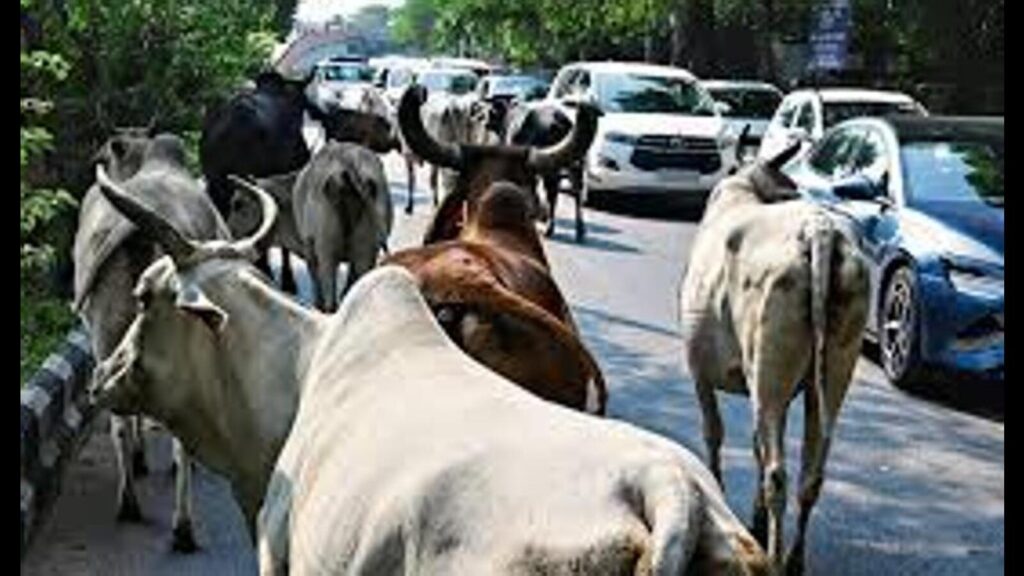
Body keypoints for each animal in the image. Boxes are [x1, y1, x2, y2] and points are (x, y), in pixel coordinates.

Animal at [227, 141, 393, 312]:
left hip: (327, 251)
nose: (230, 231)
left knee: (331, 301)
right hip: (365, 251)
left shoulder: (310, 250)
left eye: (237, 204)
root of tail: (347, 163)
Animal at [504, 101, 588, 241]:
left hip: (552, 169)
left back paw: (549, 228)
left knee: (553, 193)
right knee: (576, 193)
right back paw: (579, 230)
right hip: (574, 165)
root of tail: (559, 121)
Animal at [678, 143, 871, 574]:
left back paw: (774, 557)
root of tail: (819, 230)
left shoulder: (699, 369)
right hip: (827, 375)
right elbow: (754, 444)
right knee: (811, 475)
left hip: (769, 372)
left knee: (777, 474)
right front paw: (754, 519)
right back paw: (794, 557)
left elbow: (713, 432)